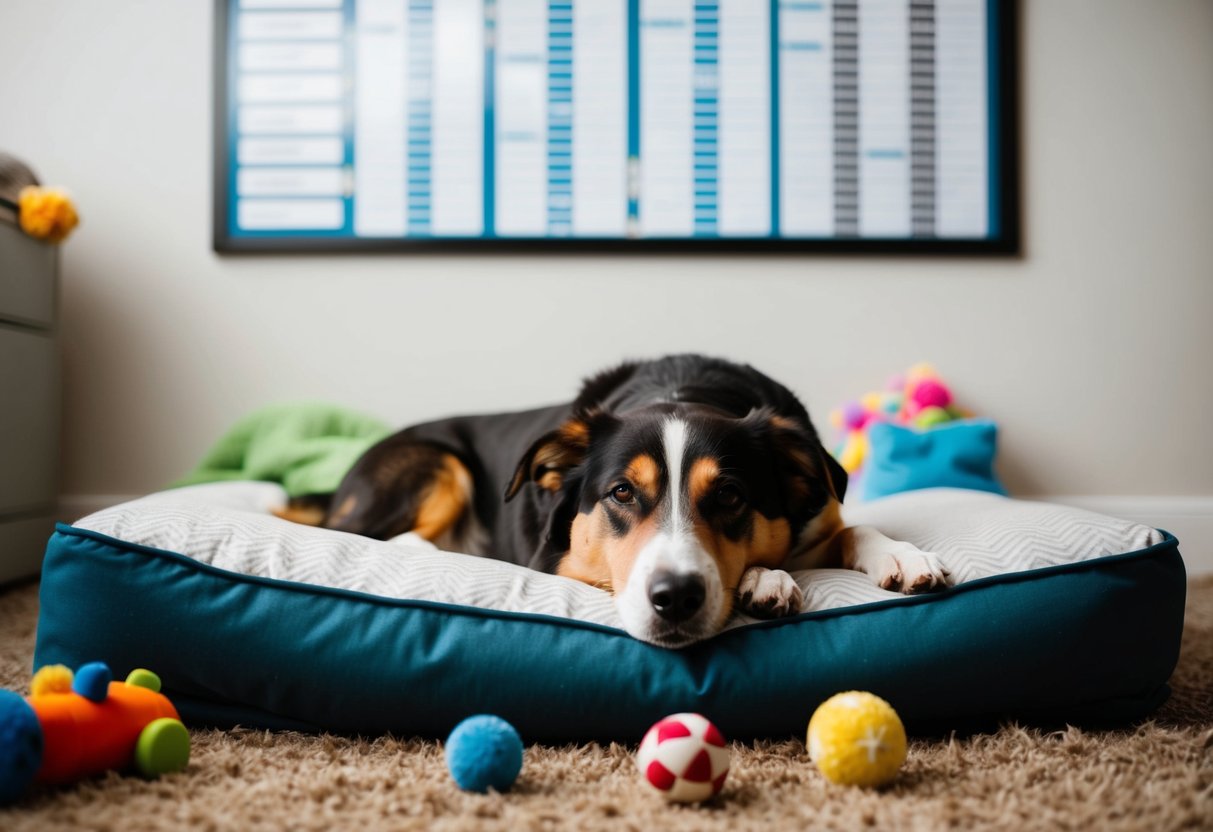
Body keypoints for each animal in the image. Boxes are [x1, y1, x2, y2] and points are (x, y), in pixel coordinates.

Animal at [303, 354, 946, 650]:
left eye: (730, 495)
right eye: (621, 493)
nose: (676, 598)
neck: (681, 391)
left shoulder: (816, 518)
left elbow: (853, 530)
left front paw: (902, 555)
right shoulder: (558, 560)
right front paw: (765, 577)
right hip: (439, 466)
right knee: (383, 534)